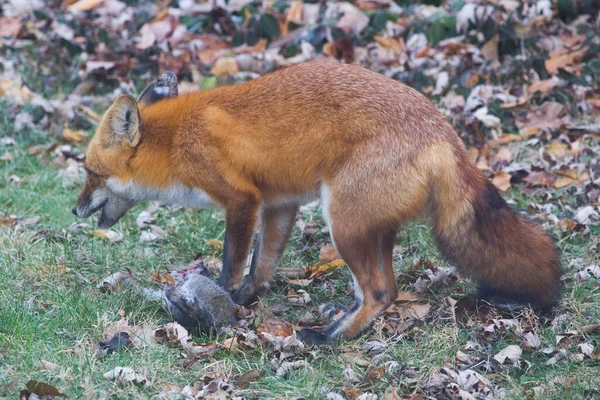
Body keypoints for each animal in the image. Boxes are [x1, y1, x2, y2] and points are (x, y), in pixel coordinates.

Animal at [72, 61, 560, 346]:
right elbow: (261, 266)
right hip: (370, 228)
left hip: (341, 222)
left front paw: (220, 305)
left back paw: (330, 337)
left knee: (380, 291)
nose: (74, 211)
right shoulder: (279, 204)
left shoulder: (242, 199)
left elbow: (233, 261)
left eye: (89, 172)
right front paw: (245, 302)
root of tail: (446, 134)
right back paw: (341, 318)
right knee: (387, 287)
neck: (176, 142)